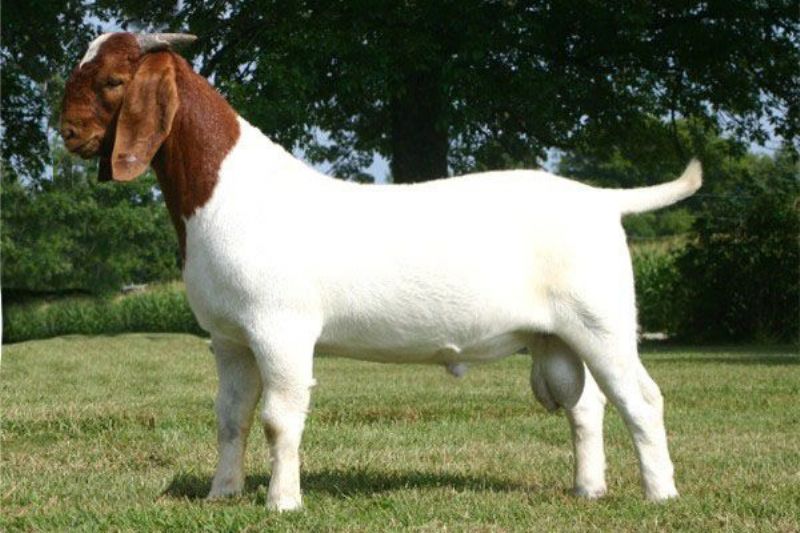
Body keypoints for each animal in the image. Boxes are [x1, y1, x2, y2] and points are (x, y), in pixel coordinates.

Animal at [61, 32, 700, 511]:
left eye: (113, 81)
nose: (68, 133)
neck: (228, 194)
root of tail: (602, 200)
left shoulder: (281, 329)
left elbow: (277, 419)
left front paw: (282, 502)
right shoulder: (228, 338)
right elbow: (230, 417)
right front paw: (223, 494)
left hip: (603, 321)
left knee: (642, 399)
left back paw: (661, 493)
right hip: (558, 336)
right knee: (586, 406)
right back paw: (588, 489)